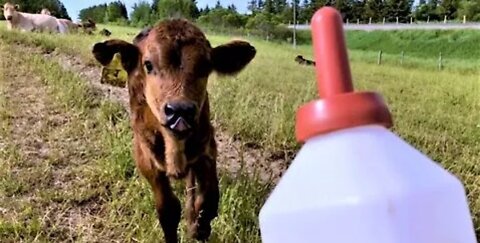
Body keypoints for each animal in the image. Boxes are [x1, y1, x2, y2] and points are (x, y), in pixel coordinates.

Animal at [90, 19, 255, 243]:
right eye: (148, 64)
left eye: (206, 66)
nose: (180, 111)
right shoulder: (145, 157)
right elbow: (168, 210)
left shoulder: (207, 147)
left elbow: (208, 203)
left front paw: (198, 228)